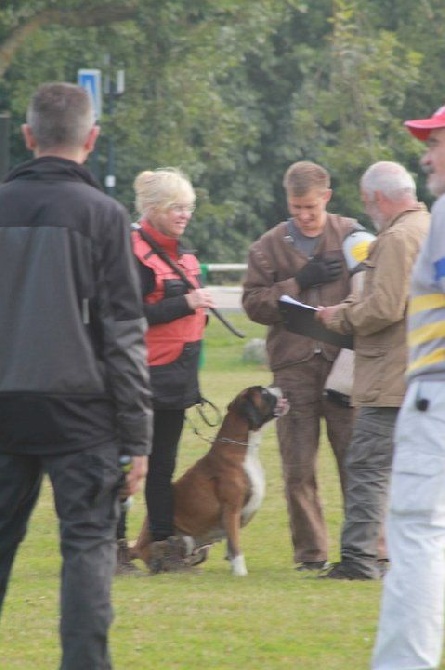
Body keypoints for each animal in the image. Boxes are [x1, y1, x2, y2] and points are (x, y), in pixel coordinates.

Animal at [128, 388, 288, 576]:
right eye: (264, 392)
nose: (279, 389)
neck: (241, 449)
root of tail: (137, 548)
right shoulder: (231, 510)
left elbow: (230, 546)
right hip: (184, 538)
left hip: (203, 547)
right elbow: (235, 546)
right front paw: (241, 573)